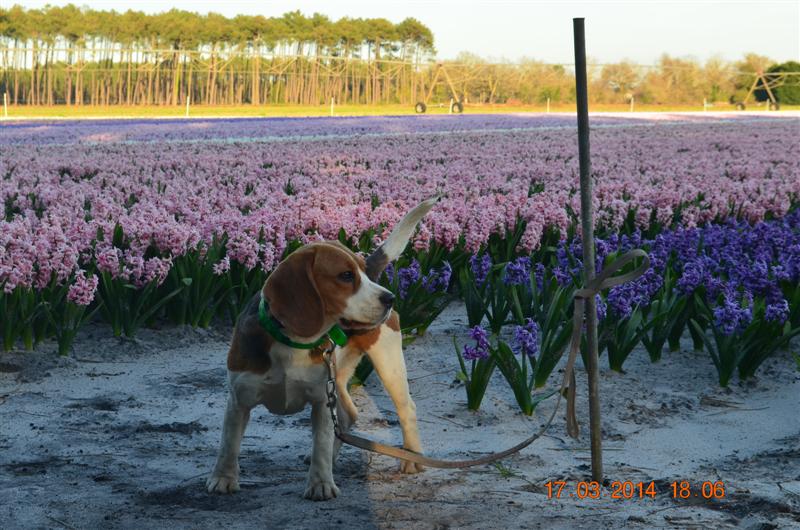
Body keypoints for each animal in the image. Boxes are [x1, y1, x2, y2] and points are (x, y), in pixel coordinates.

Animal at [206, 196, 438, 498]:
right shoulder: (239, 398)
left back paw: (411, 456)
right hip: (337, 378)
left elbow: (322, 444)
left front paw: (320, 483)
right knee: (348, 416)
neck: (292, 342)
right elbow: (228, 444)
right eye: (346, 275)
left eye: (362, 272)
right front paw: (223, 478)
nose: (390, 299)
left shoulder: (319, 399)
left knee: (406, 407)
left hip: (387, 361)